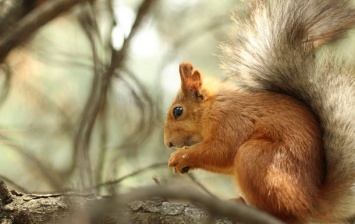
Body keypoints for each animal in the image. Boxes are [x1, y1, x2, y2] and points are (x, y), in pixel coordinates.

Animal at [165, 0, 355, 222]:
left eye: (178, 111)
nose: (168, 143)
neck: (213, 107)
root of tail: (311, 203)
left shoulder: (231, 121)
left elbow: (221, 151)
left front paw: (181, 157)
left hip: (256, 158)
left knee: (281, 213)